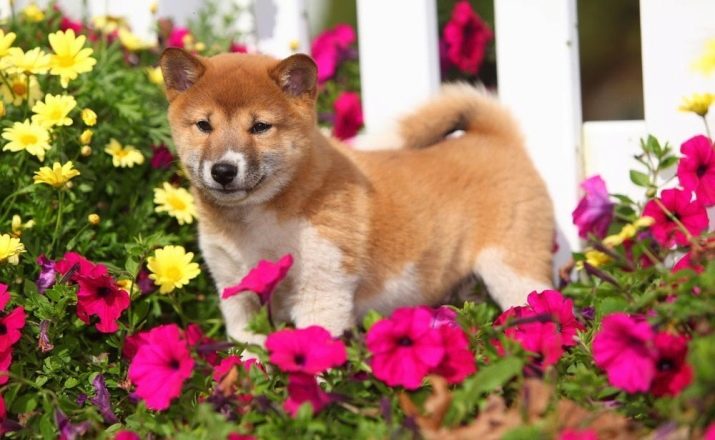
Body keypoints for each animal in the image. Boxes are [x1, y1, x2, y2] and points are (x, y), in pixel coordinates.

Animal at [159, 48, 555, 345]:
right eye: (204, 125)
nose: (223, 170)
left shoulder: (322, 291)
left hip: (513, 269)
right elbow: (246, 351)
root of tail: (497, 138)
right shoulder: (237, 292)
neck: (254, 222)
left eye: (259, 127)